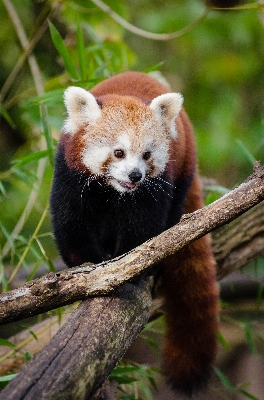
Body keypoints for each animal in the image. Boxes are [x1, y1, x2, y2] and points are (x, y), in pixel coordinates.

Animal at [50, 72, 220, 396]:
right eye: (118, 152)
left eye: (146, 155)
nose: (135, 175)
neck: (114, 190)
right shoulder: (71, 172)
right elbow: (72, 221)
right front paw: (88, 264)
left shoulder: (156, 185)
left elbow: (142, 230)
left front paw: (127, 269)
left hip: (183, 172)